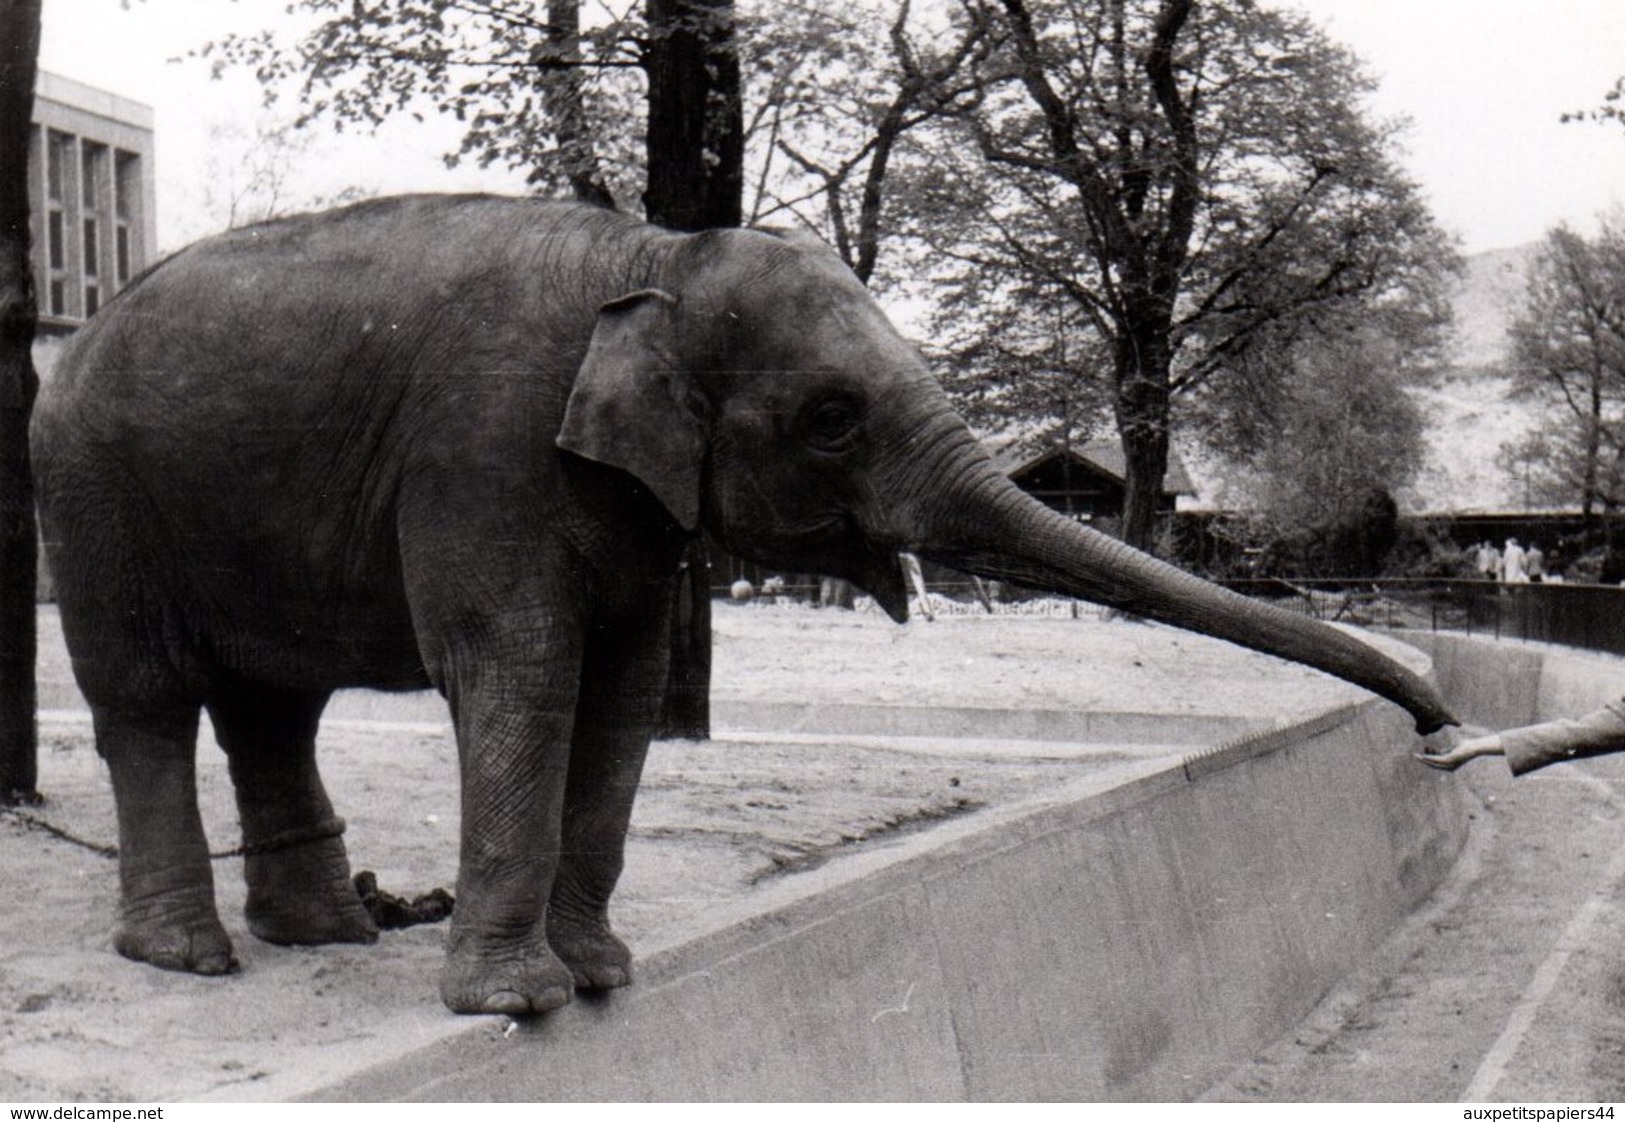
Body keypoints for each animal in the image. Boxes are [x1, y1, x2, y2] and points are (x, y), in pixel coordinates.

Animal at [28, 191, 1462, 1014]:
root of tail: (68, 340)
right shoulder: (481, 447)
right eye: (831, 418)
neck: (649, 251)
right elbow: (522, 673)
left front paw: (601, 979)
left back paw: (322, 935)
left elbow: (620, 689)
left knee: (275, 705)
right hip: (91, 496)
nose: (1444, 733)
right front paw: (516, 1003)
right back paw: (189, 957)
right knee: (148, 699)